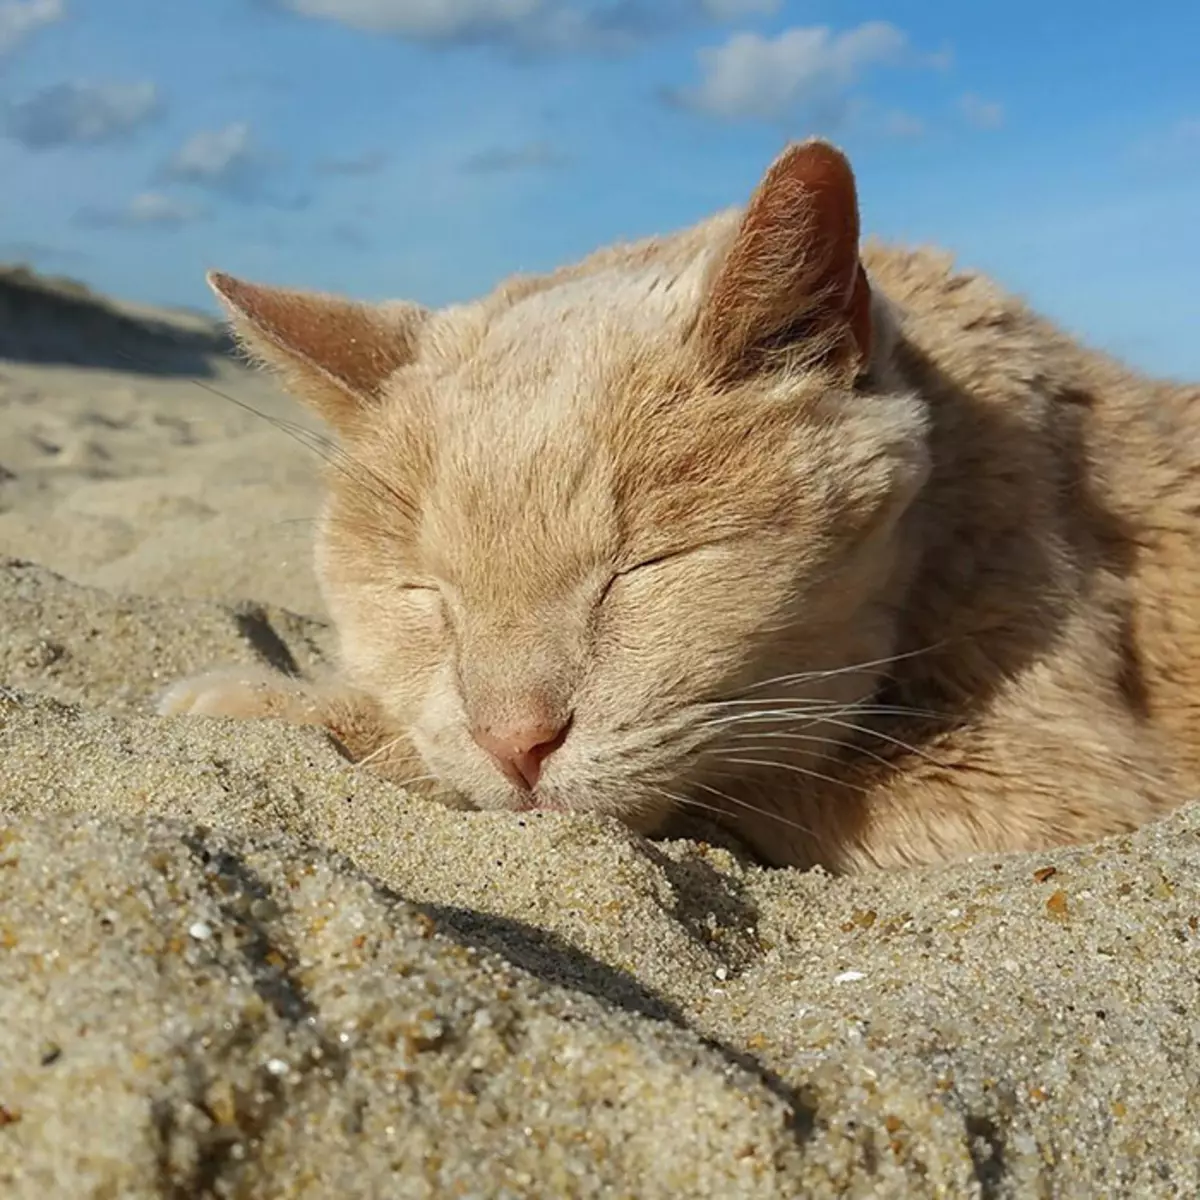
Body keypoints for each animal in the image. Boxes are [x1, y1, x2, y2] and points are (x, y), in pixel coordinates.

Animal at [159, 138, 1200, 873]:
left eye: (646, 570)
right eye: (426, 595)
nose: (515, 743)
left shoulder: (1066, 782)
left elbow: (765, 771)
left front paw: (268, 702)